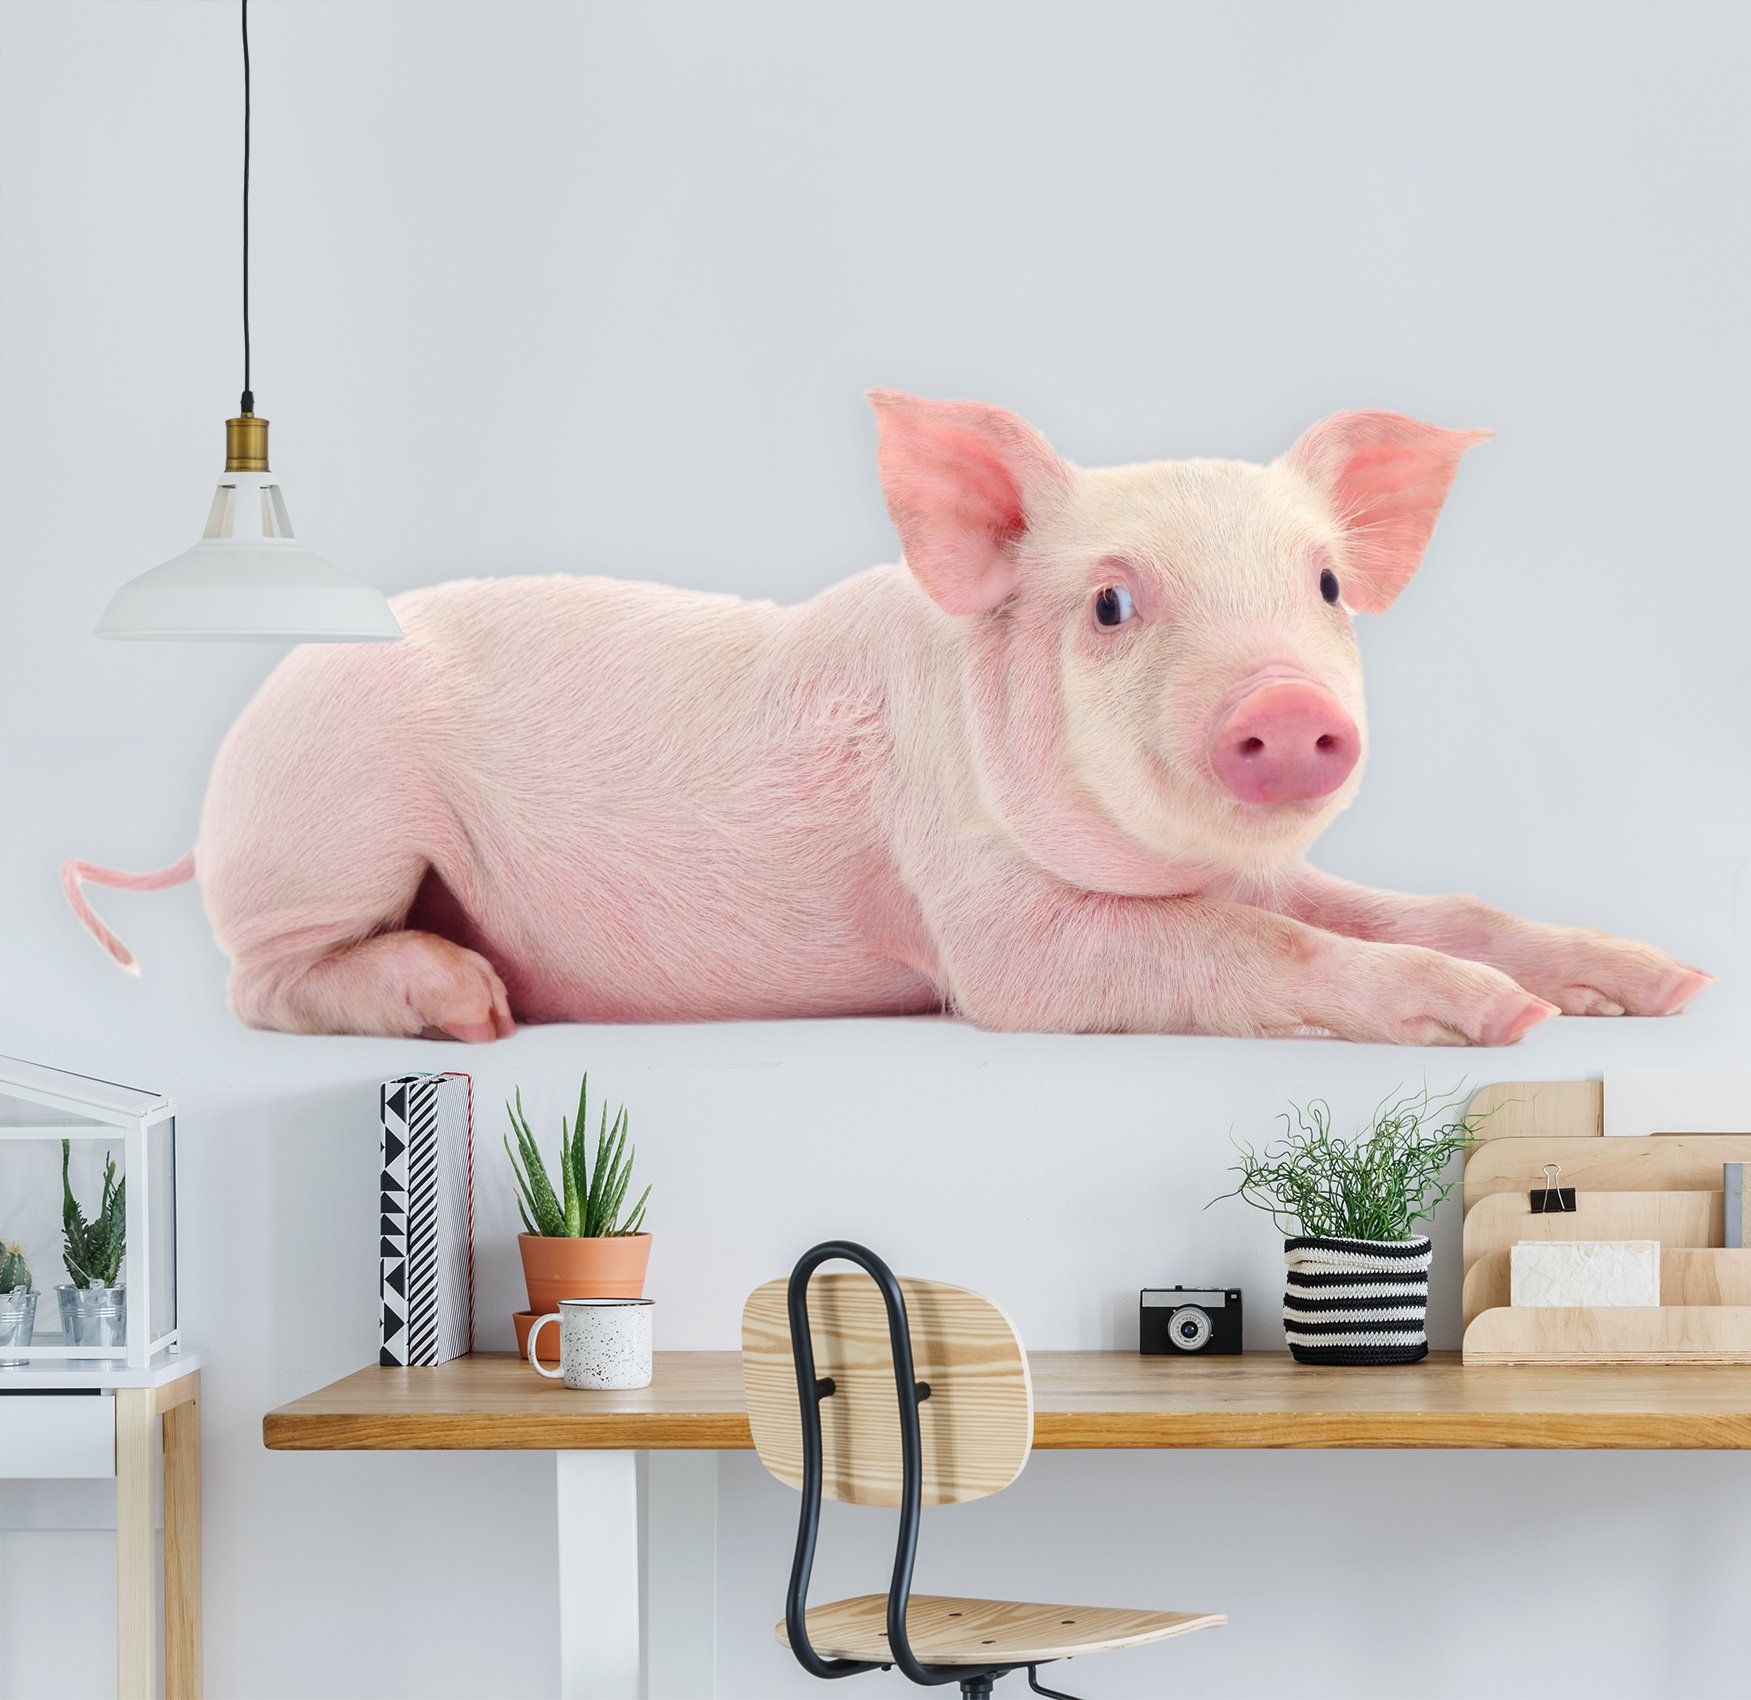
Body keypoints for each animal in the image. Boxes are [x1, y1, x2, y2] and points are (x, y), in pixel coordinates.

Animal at [63, 392, 1711, 1044]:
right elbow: (1253, 948)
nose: (1290, 710)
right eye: (1110, 606)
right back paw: (471, 1009)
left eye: (1322, 587)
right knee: (258, 983)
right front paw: (1495, 1020)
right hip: (329, 819)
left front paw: (1651, 986)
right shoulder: (988, 934)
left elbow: (1400, 903)